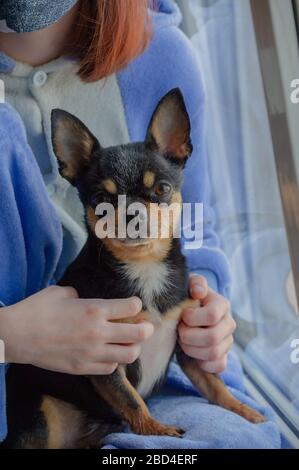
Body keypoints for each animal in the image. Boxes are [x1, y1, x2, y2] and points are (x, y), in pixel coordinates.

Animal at [1, 89, 264, 452]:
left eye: (162, 189)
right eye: (101, 199)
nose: (132, 213)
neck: (144, 266)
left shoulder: (187, 345)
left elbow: (214, 383)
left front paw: (244, 411)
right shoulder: (104, 358)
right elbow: (131, 399)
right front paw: (156, 429)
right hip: (42, 417)